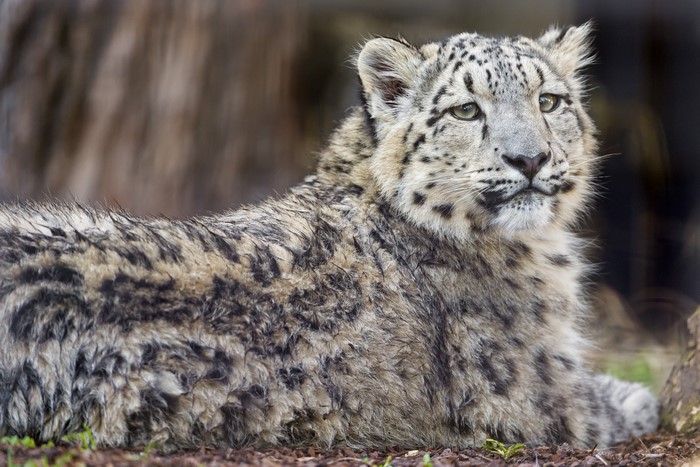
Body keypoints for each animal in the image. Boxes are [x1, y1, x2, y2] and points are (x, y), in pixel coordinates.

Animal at [0, 23, 659, 452]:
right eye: (466, 111)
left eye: (550, 101)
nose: (530, 158)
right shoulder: (547, 394)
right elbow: (609, 405)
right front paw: (644, 396)